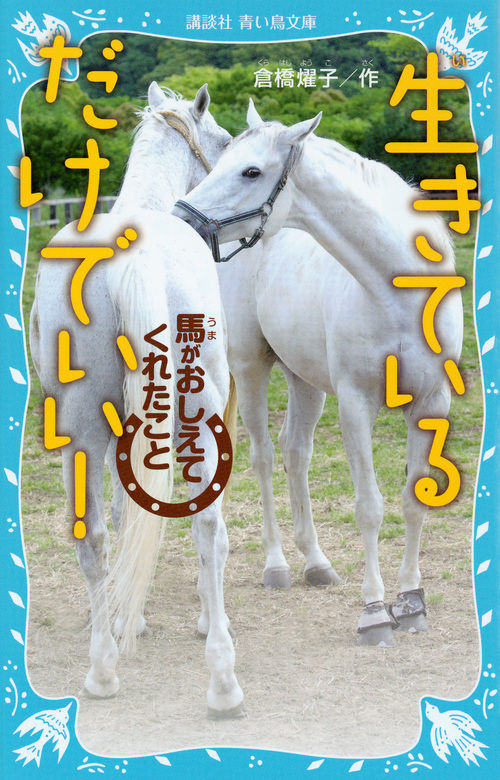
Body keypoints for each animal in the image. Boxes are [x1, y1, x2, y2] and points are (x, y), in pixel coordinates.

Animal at [29, 82, 246, 717]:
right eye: (226, 142)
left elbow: (127, 515)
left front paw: (131, 616)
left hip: (81, 427)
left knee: (93, 535)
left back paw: (102, 669)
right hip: (196, 414)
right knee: (207, 524)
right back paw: (222, 680)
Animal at [173, 101, 463, 647]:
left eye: (250, 171)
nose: (182, 221)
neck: (399, 292)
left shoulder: (431, 403)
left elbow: (413, 501)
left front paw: (412, 604)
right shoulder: (355, 404)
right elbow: (370, 508)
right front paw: (375, 613)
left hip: (304, 381)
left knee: (296, 453)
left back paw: (316, 562)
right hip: (252, 367)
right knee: (265, 458)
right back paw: (278, 565)